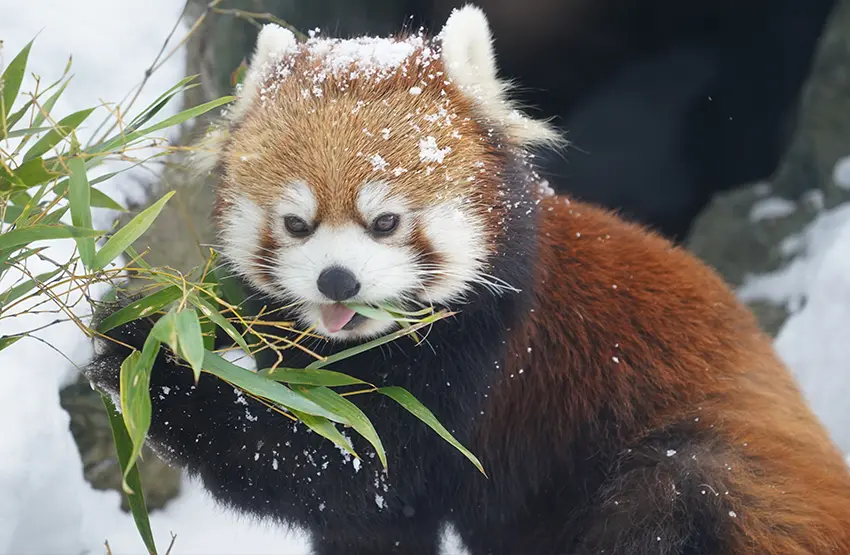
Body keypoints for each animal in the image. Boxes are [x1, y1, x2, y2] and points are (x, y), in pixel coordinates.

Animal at [84, 5, 848, 555]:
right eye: (297, 224)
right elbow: (362, 507)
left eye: (386, 221)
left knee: (682, 494)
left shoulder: (482, 366)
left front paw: (148, 357)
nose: (338, 281)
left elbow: (345, 465)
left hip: (715, 466)